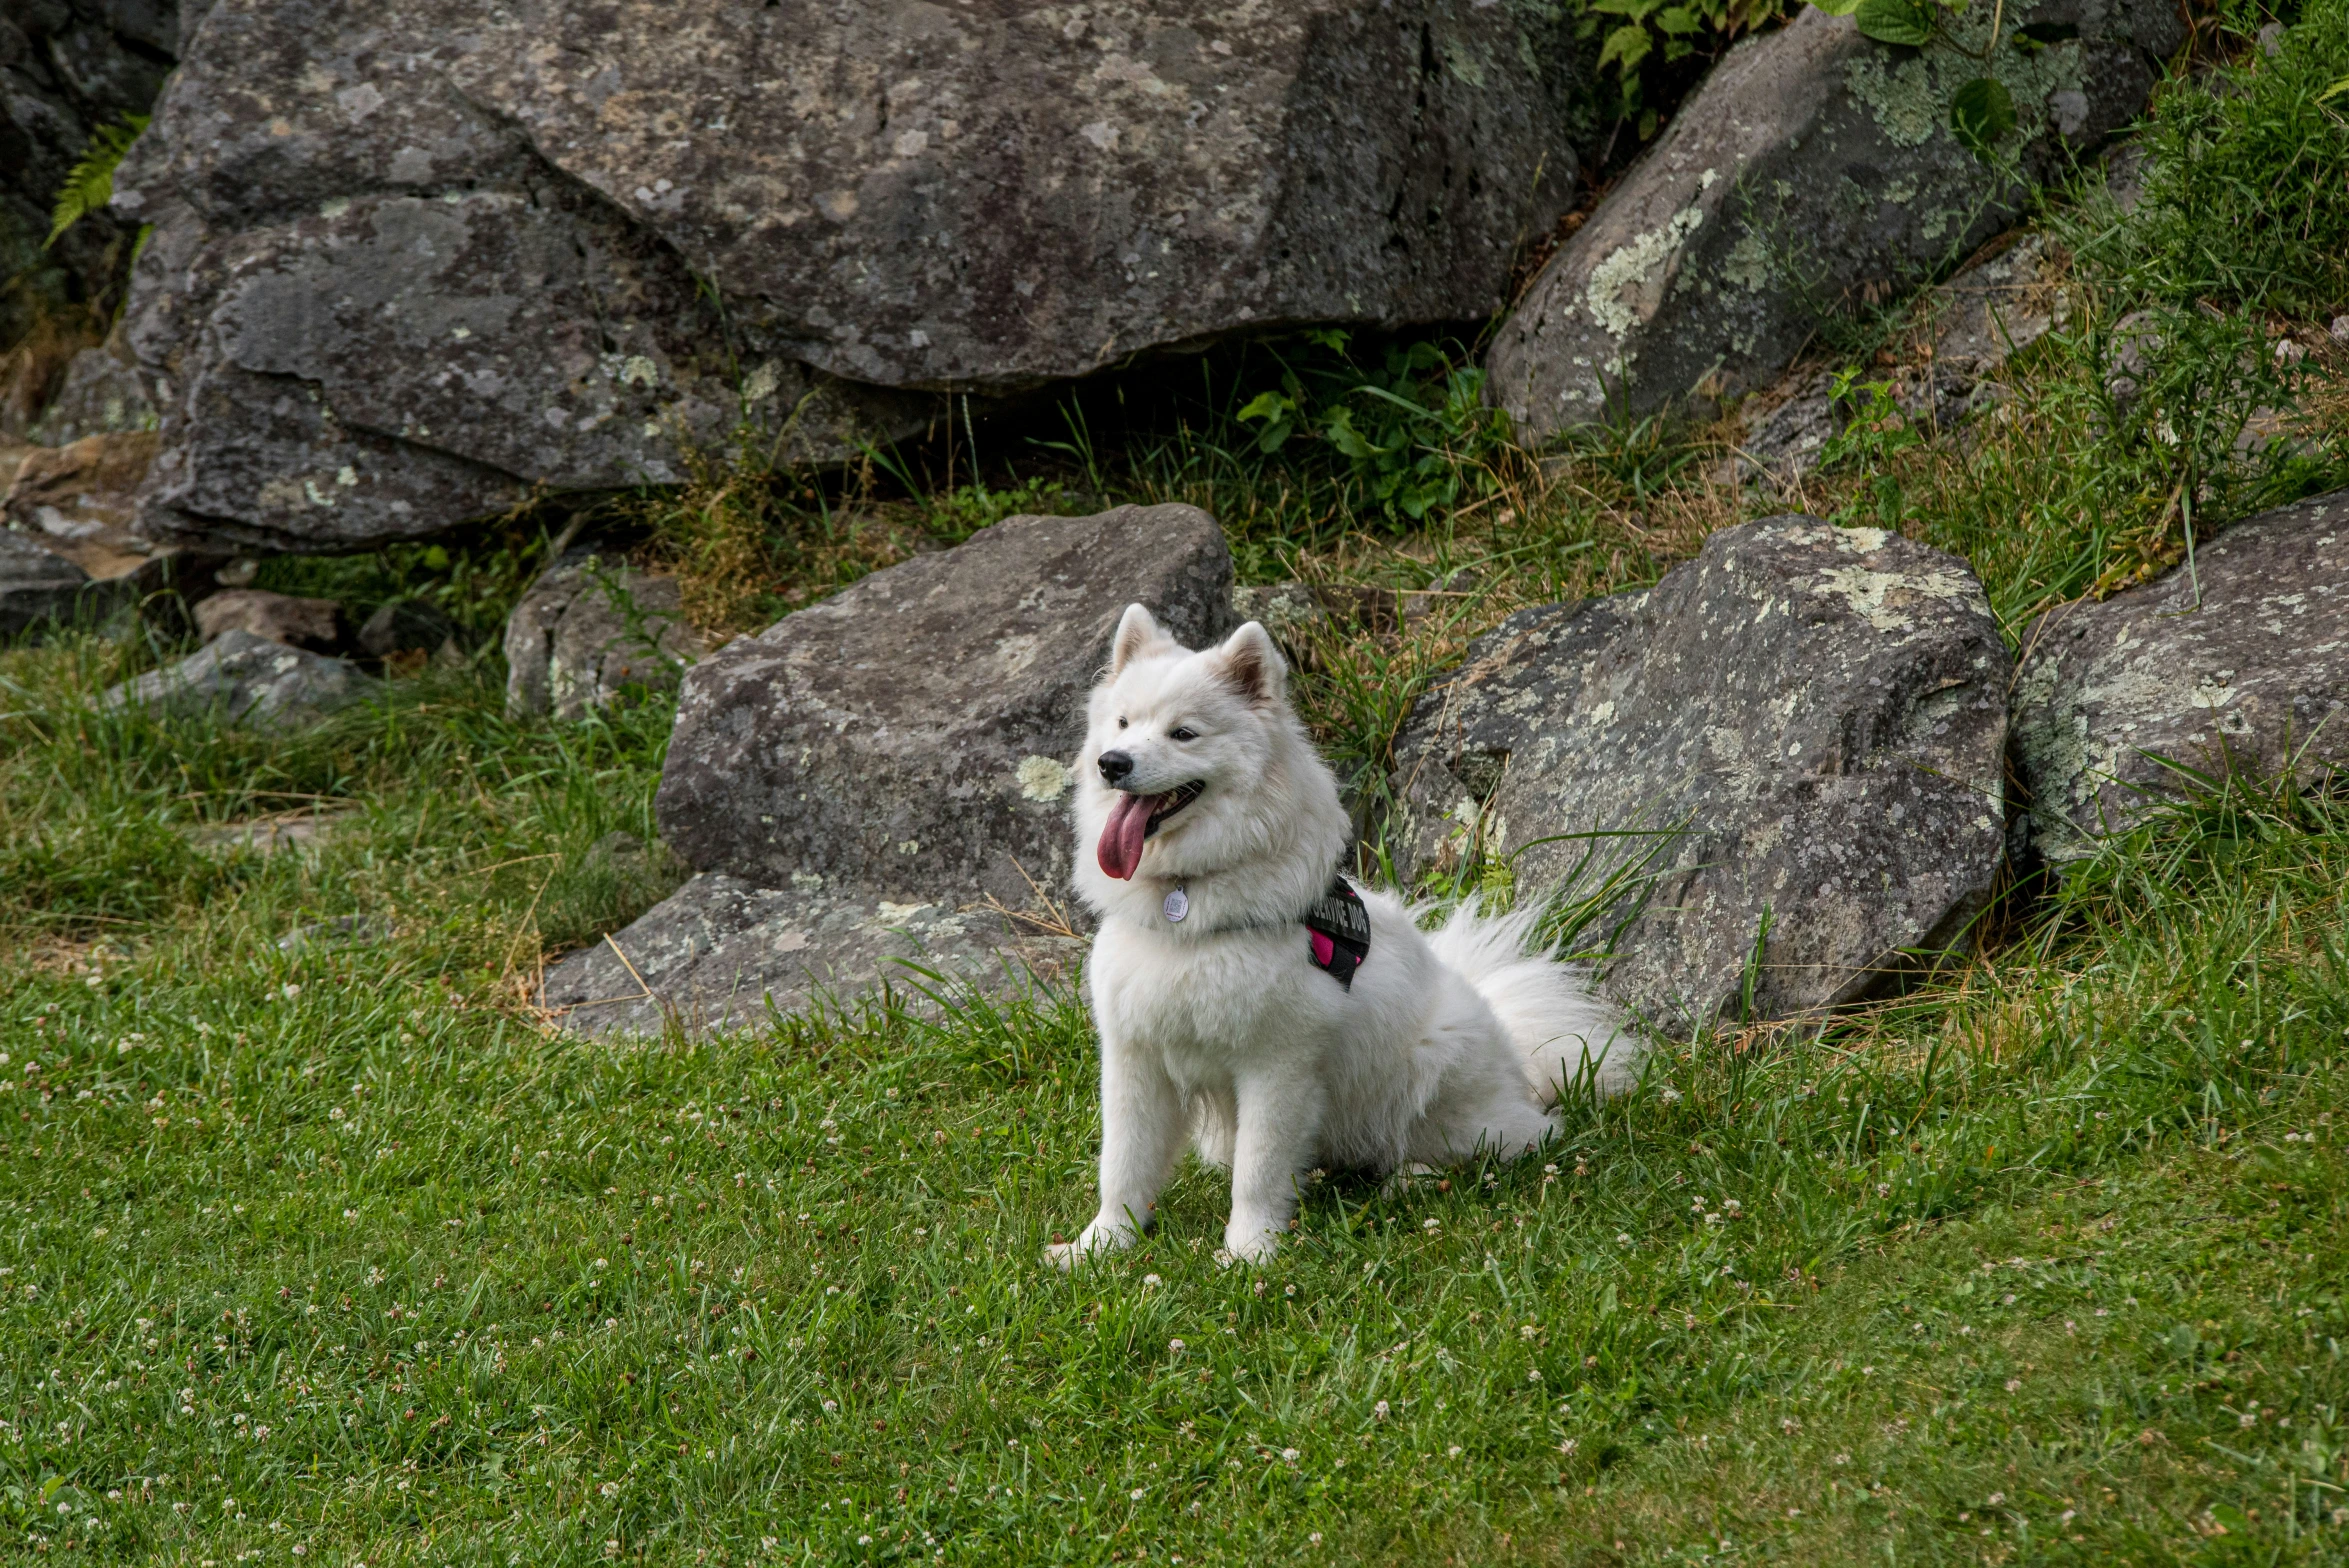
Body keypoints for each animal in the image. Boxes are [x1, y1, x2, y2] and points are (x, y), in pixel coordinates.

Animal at [1047, 600, 1634, 1258]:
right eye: (1122, 723)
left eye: (1184, 733)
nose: (1112, 764)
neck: (1185, 900)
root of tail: (1520, 1064)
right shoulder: (1136, 1058)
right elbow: (1124, 1165)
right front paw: (1101, 1246)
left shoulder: (1276, 1064)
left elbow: (1257, 1171)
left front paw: (1248, 1253)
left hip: (1436, 1063)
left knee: (1504, 1143)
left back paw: (1415, 1177)